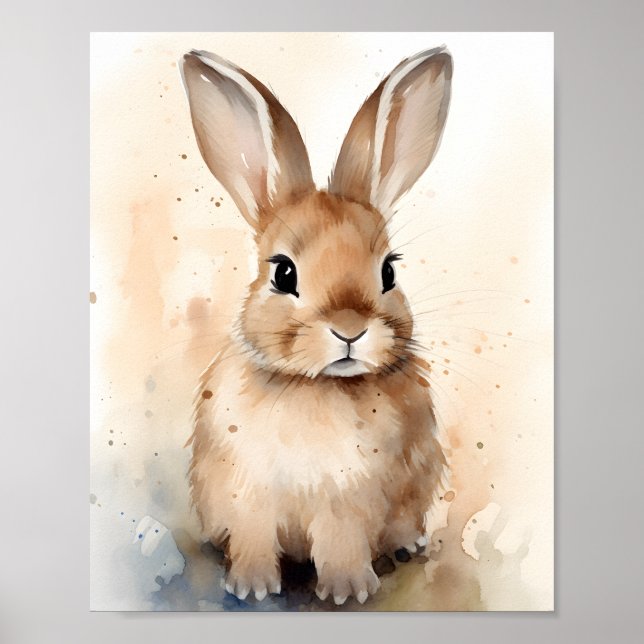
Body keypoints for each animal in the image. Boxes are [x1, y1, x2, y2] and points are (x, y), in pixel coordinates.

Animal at [180, 45, 452, 605]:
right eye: (283, 273)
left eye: (389, 271)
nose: (349, 329)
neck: (317, 388)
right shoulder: (248, 495)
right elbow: (254, 538)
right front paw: (251, 586)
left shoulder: (349, 501)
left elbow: (341, 541)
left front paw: (348, 590)